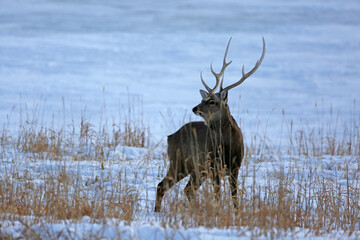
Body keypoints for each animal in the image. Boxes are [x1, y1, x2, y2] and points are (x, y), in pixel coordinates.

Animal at [153, 37, 266, 212]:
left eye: (212, 101)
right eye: (202, 99)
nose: (195, 108)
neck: (227, 146)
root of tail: (170, 137)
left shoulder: (235, 168)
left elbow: (235, 199)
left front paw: (237, 215)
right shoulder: (214, 167)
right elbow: (218, 197)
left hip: (196, 170)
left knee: (187, 189)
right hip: (180, 162)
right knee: (163, 186)